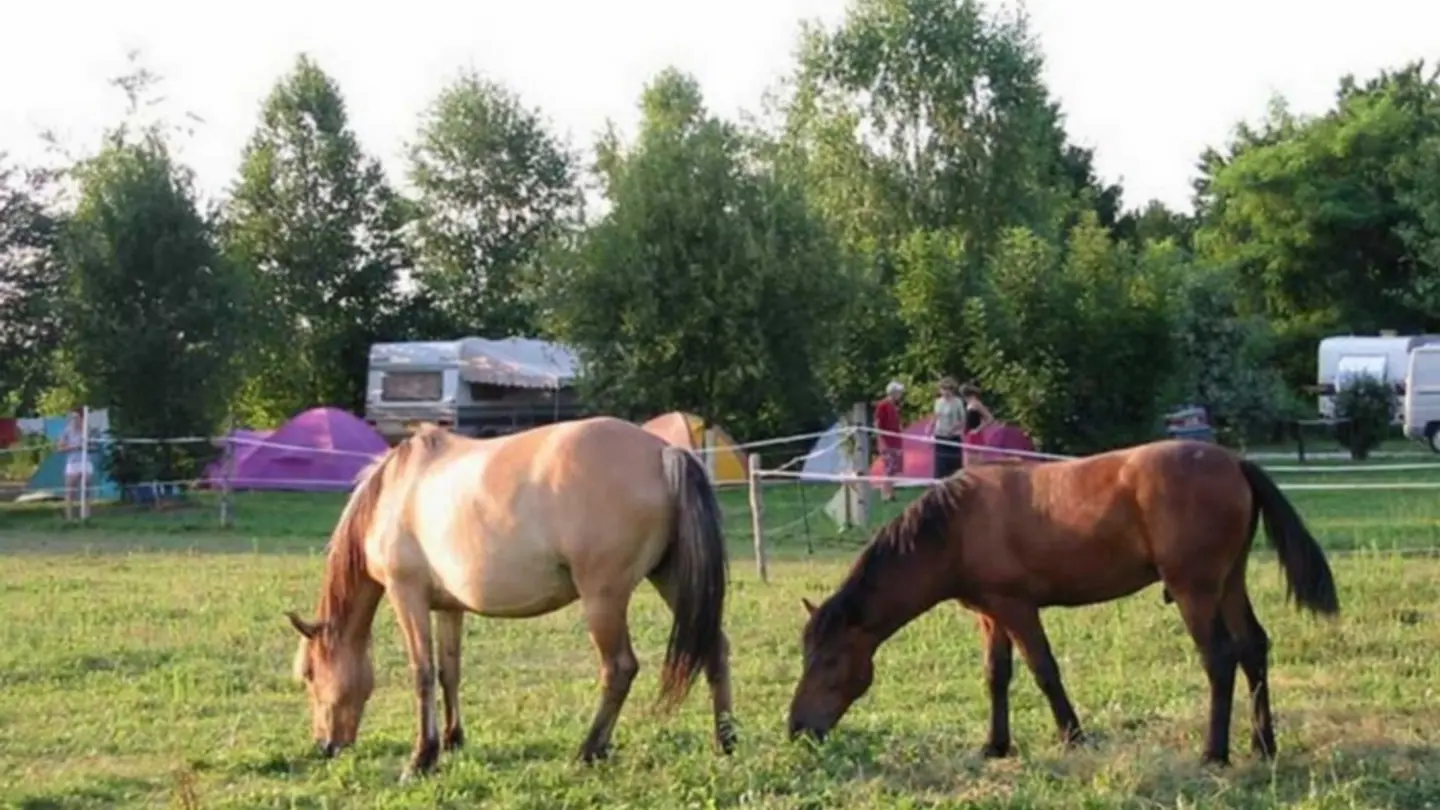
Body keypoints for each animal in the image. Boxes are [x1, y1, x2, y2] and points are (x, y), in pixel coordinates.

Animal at [283, 415, 731, 778]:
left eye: (310, 674)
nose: (325, 746)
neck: (396, 492)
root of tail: (664, 453)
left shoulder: (406, 594)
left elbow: (422, 673)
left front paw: (422, 758)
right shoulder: (447, 607)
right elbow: (449, 672)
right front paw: (453, 740)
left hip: (603, 598)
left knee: (619, 668)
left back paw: (589, 750)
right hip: (671, 579)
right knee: (715, 649)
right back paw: (725, 742)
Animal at [789, 438, 1336, 760]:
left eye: (829, 661)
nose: (797, 729)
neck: (957, 527)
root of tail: (1235, 462)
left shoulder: (1017, 608)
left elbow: (1043, 670)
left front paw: (1072, 735)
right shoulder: (991, 616)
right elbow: (997, 676)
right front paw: (995, 745)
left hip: (1194, 590)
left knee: (1220, 659)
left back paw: (1214, 752)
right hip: (1228, 583)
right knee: (1253, 649)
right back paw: (1263, 745)